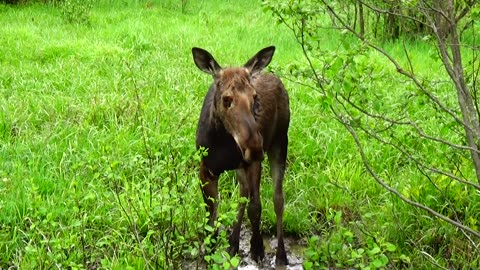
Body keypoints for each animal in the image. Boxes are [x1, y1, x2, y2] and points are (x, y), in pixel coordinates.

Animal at [190, 47, 288, 266]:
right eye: (226, 99)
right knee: (243, 192)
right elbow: (211, 214)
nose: (255, 147)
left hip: (279, 143)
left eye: (255, 97)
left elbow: (255, 207)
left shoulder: (253, 163)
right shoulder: (206, 169)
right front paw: (210, 251)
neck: (222, 144)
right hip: (242, 165)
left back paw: (281, 254)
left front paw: (257, 248)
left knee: (278, 198)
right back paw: (233, 243)